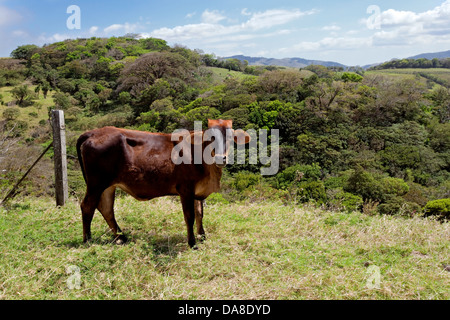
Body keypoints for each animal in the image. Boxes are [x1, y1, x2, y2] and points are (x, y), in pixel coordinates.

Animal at [78, 119, 253, 248]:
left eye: (230, 138)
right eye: (210, 138)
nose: (220, 158)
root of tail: (93, 132)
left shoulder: (197, 191)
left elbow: (199, 213)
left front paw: (202, 236)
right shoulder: (185, 189)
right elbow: (189, 216)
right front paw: (192, 243)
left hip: (108, 185)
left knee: (106, 208)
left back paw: (121, 238)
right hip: (96, 183)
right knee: (88, 206)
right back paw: (88, 240)